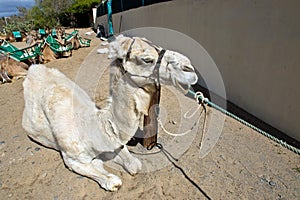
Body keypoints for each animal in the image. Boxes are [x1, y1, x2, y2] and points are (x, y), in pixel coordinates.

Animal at [22, 35, 198, 191]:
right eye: (147, 59)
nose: (189, 68)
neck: (96, 127)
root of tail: (33, 69)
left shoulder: (115, 144)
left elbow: (134, 165)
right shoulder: (72, 158)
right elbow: (113, 181)